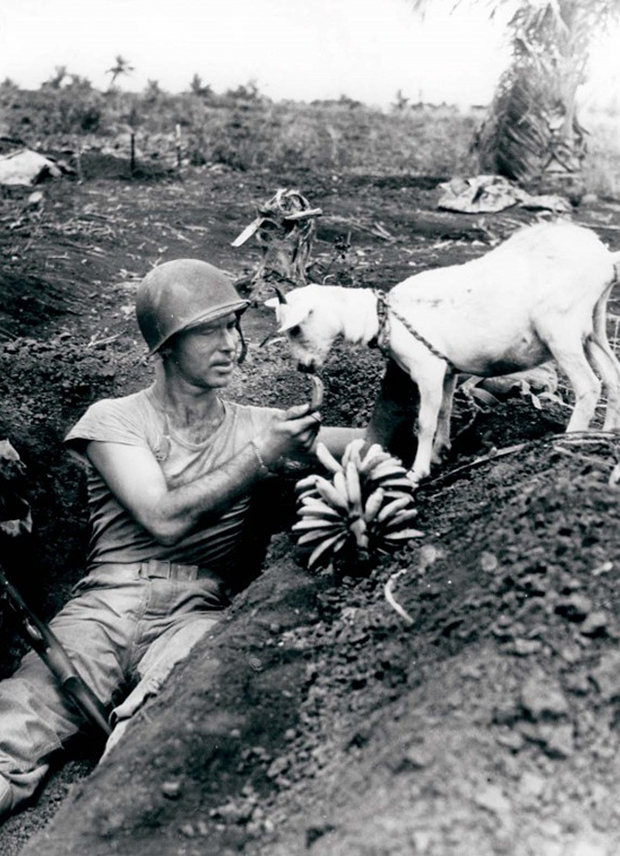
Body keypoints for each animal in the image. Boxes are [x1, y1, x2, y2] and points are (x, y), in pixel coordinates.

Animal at [264, 221, 620, 484]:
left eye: (295, 328)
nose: (303, 368)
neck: (382, 316)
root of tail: (605, 259)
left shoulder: (428, 368)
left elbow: (424, 421)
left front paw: (418, 470)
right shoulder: (447, 370)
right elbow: (444, 411)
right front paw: (440, 453)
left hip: (561, 329)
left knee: (589, 385)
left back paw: (568, 441)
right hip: (593, 325)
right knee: (613, 375)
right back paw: (606, 433)